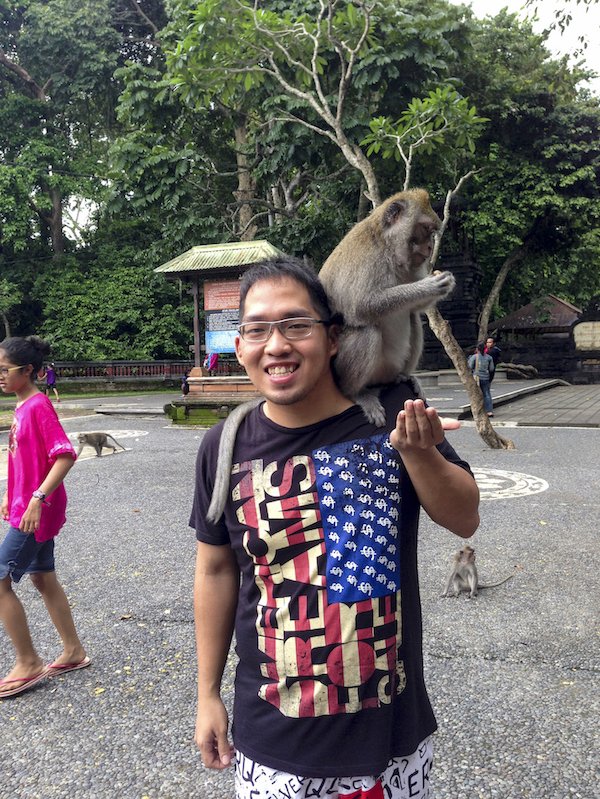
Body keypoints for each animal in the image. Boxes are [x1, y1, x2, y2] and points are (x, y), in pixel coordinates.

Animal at [206, 190, 454, 520]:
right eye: (425, 229)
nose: (428, 249)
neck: (388, 246)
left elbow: (414, 310)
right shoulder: (369, 261)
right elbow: (364, 306)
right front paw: (430, 286)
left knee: (413, 320)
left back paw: (404, 376)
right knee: (367, 330)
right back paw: (358, 392)